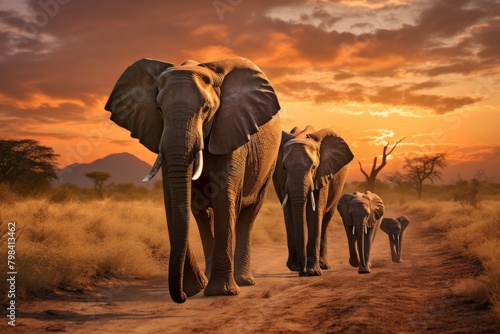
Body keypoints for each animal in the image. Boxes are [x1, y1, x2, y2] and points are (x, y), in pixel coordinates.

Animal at [105, 56, 282, 302]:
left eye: (206, 109)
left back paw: (242, 281)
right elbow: (174, 200)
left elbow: (224, 199)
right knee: (203, 215)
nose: (181, 297)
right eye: (158, 109)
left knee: (248, 215)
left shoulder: (231, 132)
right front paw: (195, 289)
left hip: (269, 164)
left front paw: (220, 293)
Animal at [272, 126, 354, 276]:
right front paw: (295, 267)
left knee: (326, 219)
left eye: (313, 167)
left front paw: (312, 272)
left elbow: (315, 214)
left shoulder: (322, 173)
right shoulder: (281, 178)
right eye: (284, 168)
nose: (301, 269)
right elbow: (289, 212)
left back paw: (323, 265)